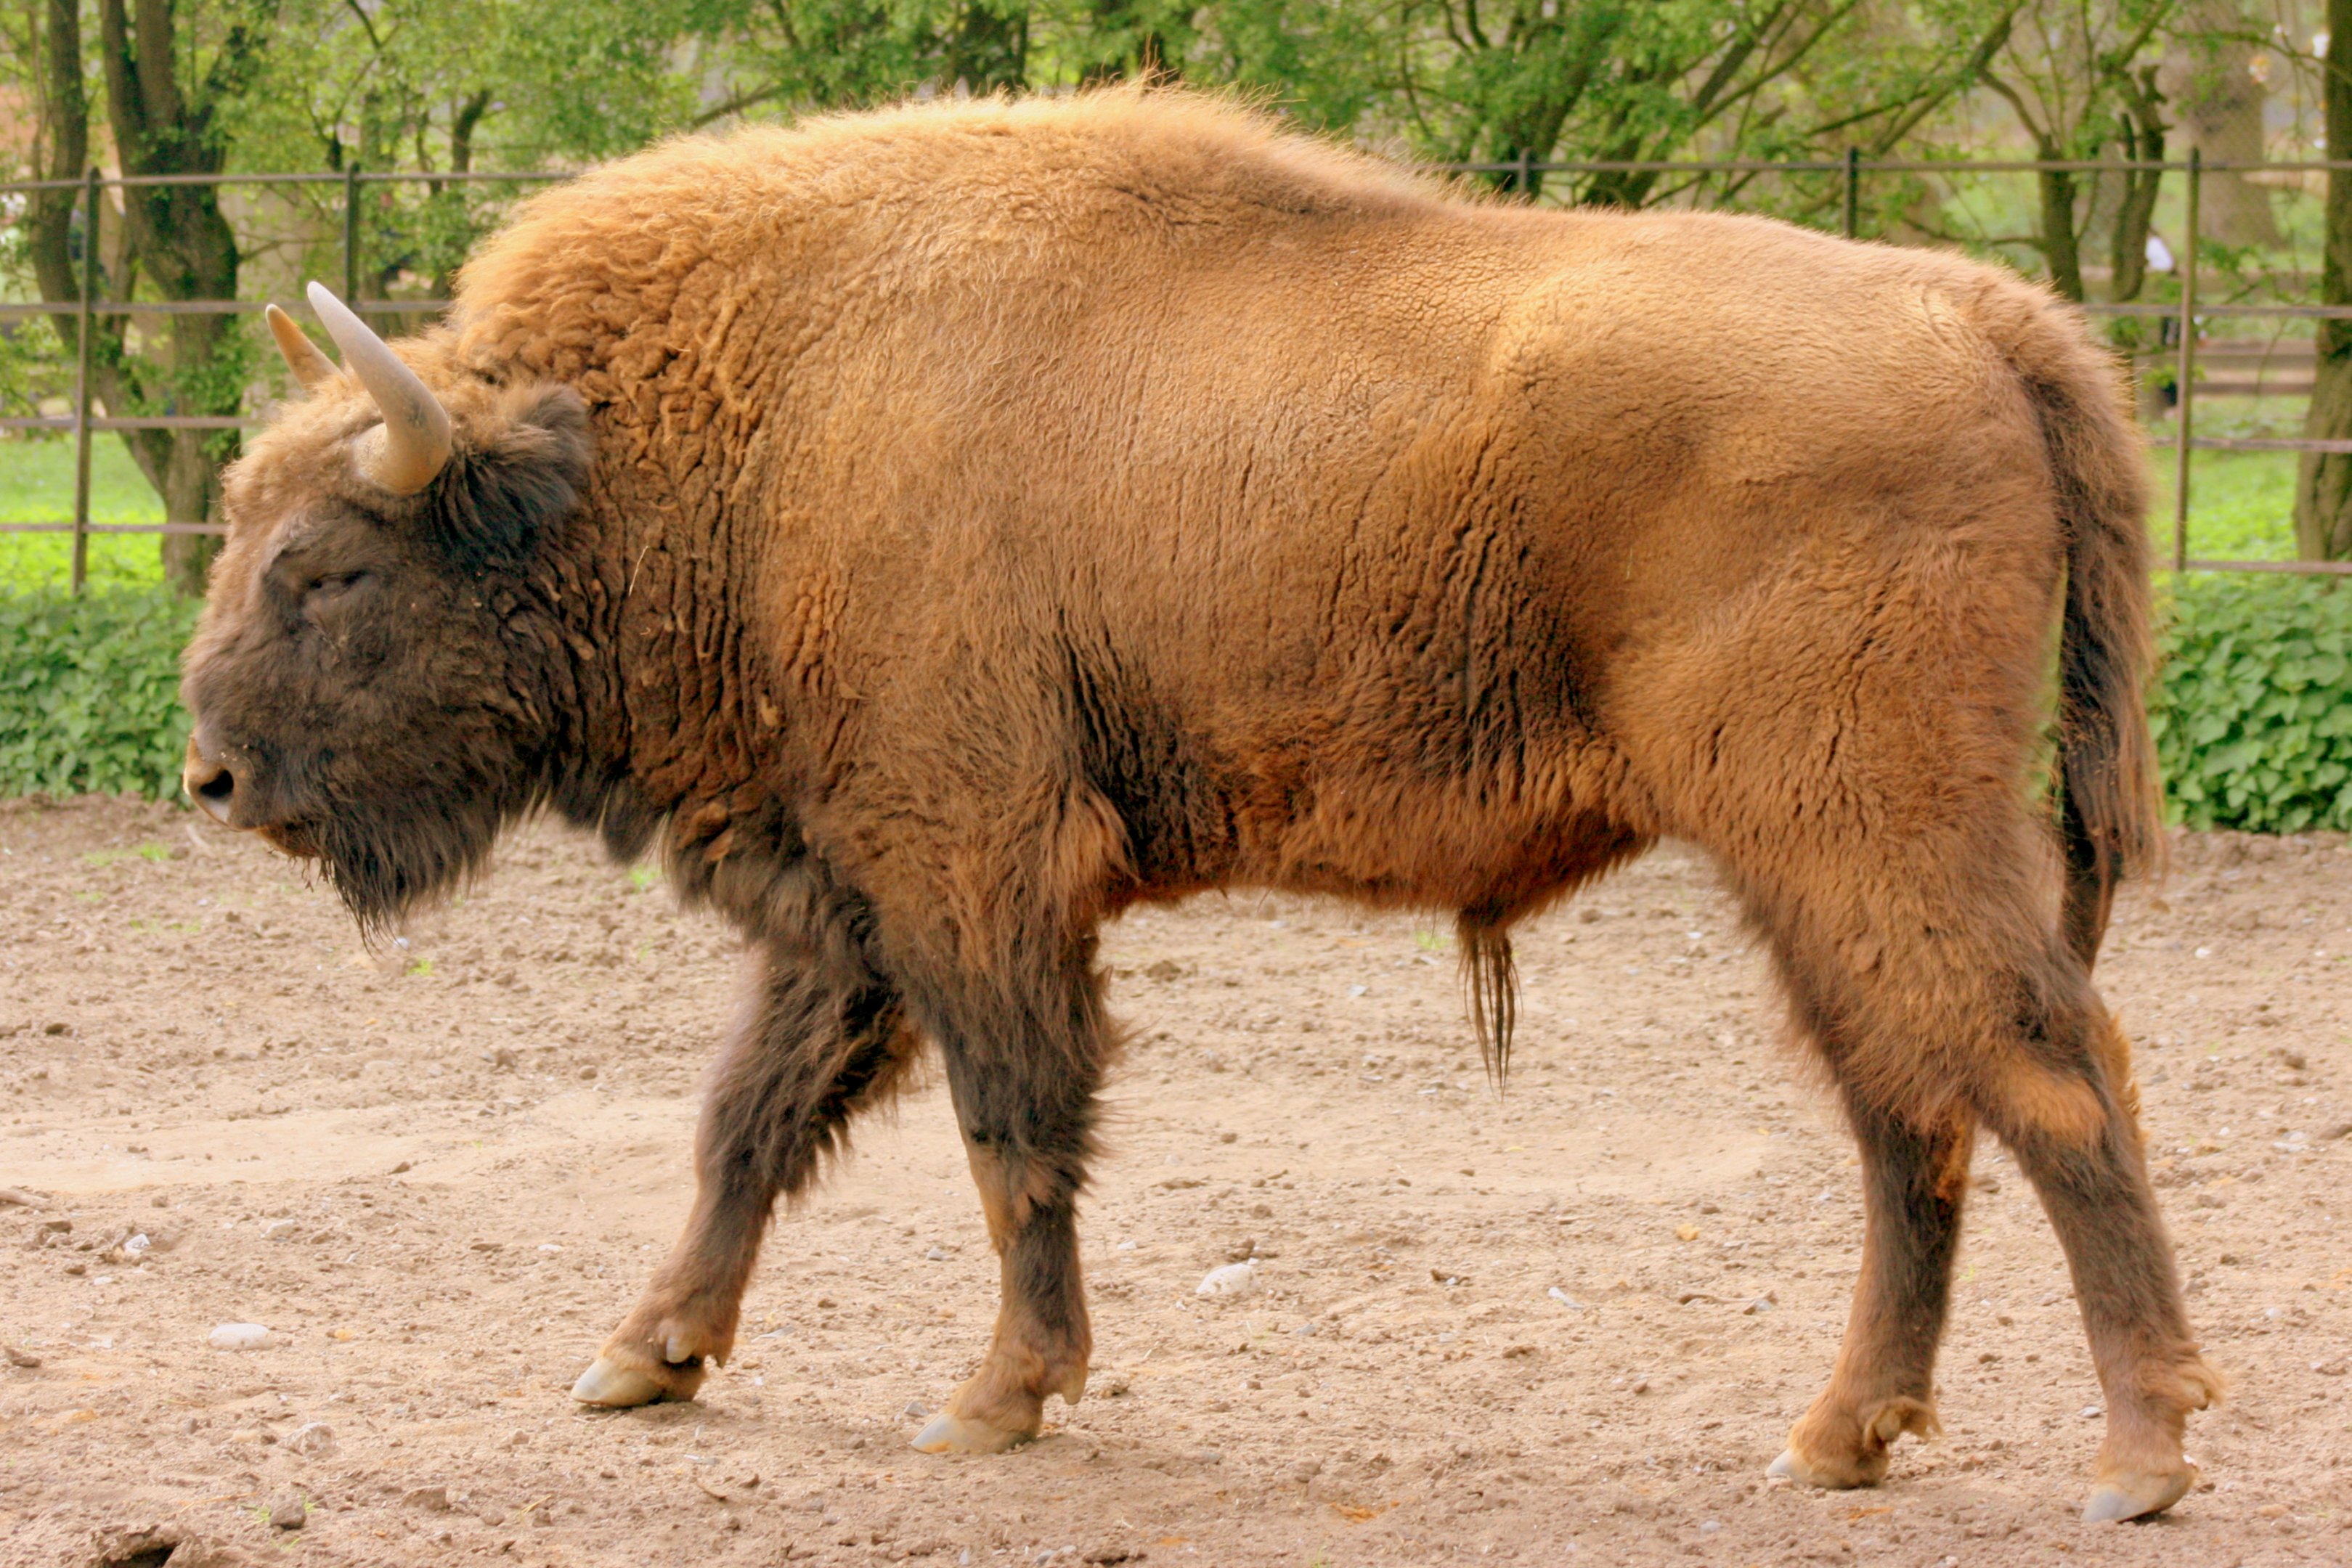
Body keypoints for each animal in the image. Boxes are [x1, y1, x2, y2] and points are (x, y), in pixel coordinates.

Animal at [180, 90, 2215, 1520]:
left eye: (323, 566)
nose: (208, 774)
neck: (727, 426)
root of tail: (1981, 311)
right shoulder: (849, 894)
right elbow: (747, 1123)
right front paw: (643, 1357)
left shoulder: (968, 868)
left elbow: (1010, 1128)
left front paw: (994, 1398)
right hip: (1809, 868)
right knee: (1907, 1112)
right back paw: (1838, 1438)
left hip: (1865, 832)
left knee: (2045, 1071)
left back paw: (2135, 1455)